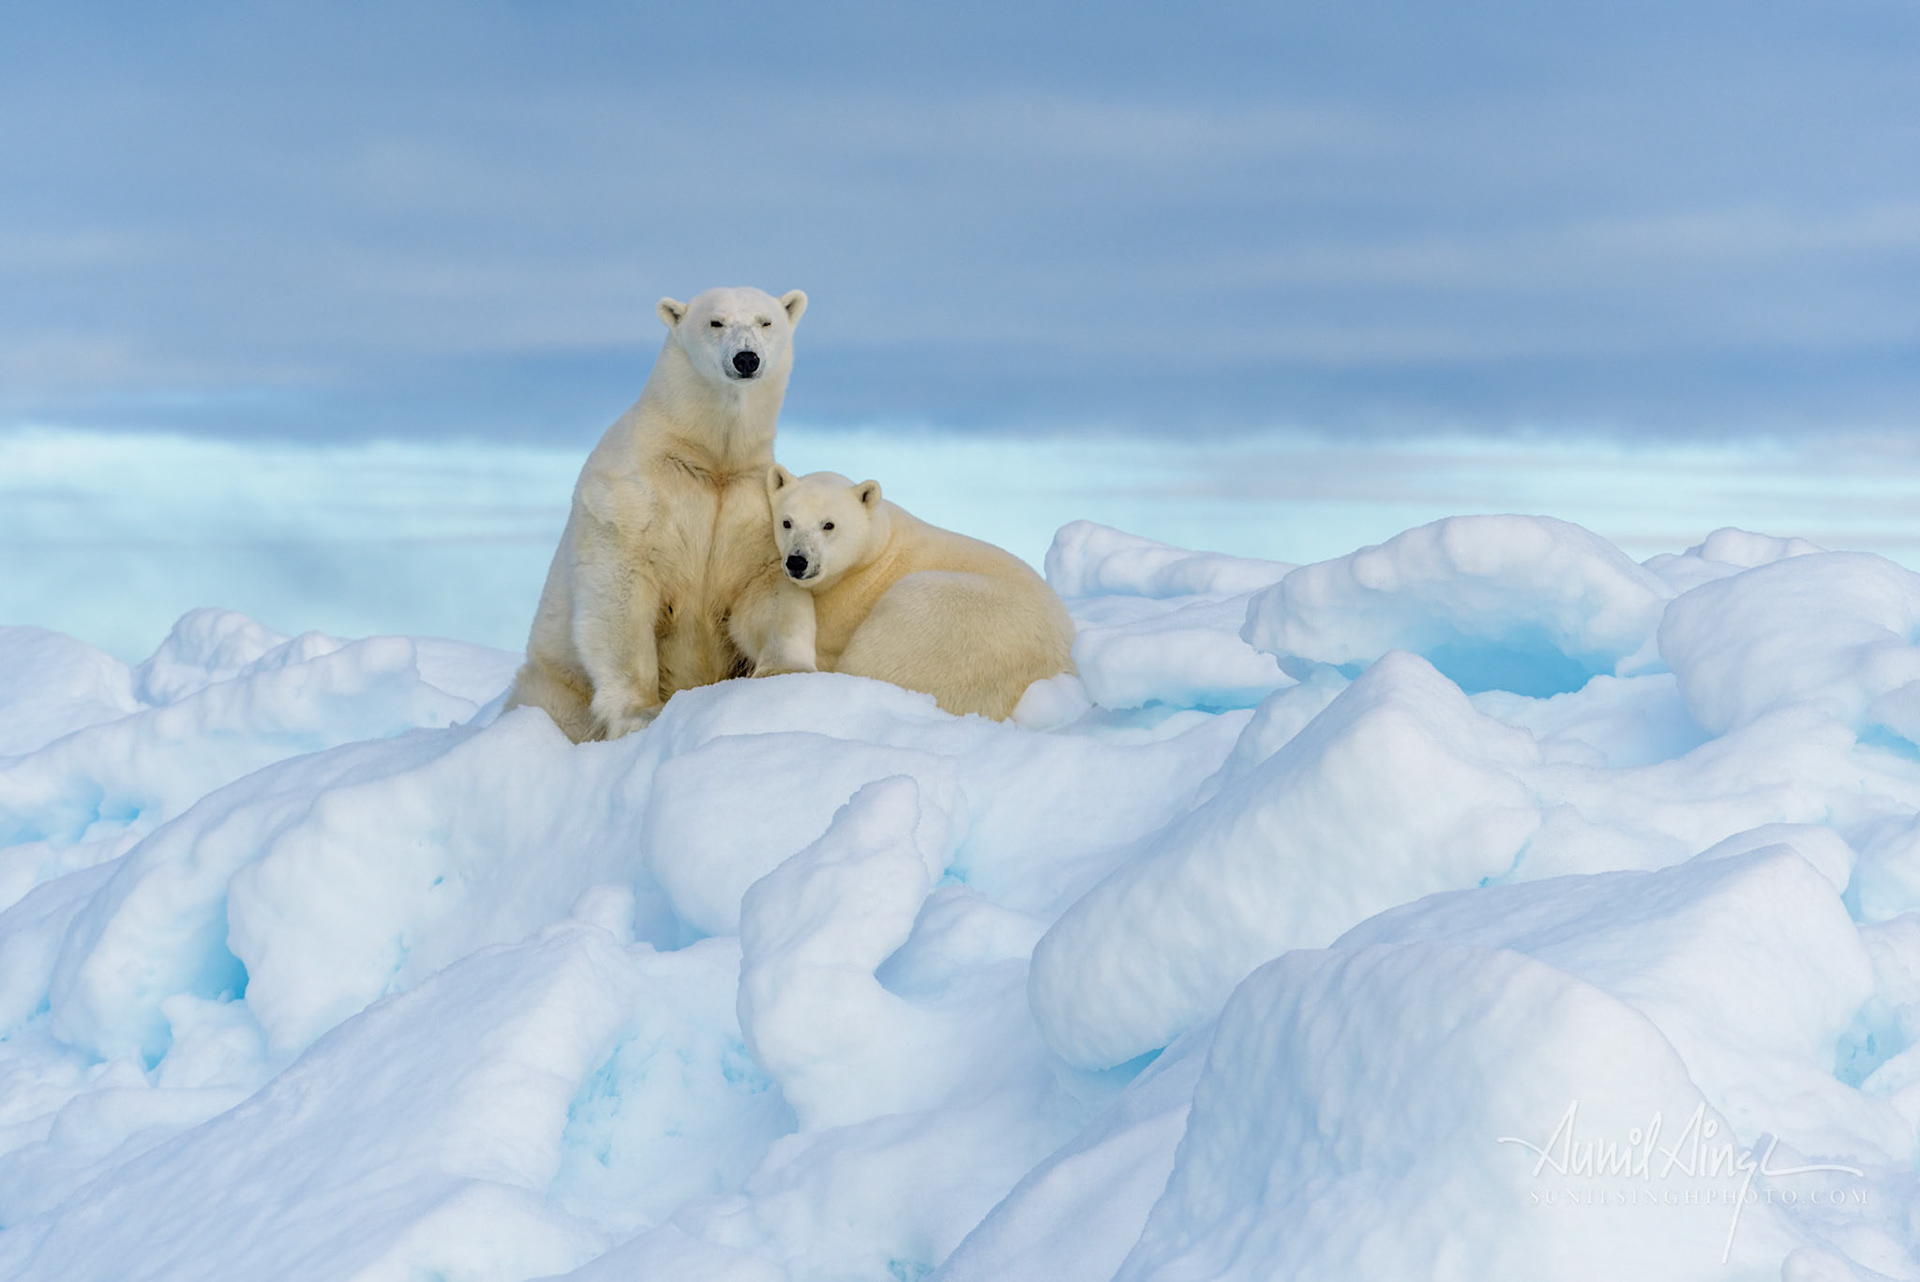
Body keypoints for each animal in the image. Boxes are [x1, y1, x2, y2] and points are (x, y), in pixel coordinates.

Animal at [504, 286, 819, 741]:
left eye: (766, 321)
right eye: (715, 321)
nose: (746, 358)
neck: (707, 459)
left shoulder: (752, 506)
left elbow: (767, 588)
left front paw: (784, 673)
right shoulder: (631, 496)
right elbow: (621, 594)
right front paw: (641, 713)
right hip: (557, 681)